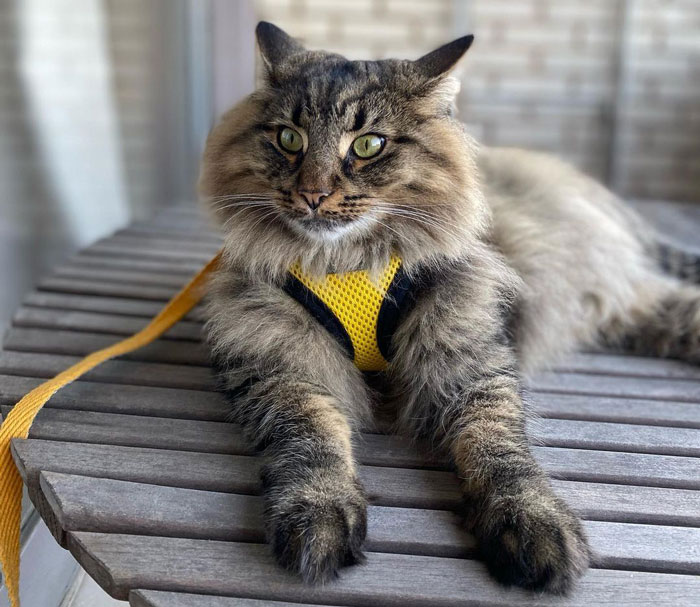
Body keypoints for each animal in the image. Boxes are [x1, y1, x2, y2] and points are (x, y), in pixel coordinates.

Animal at [198, 21, 700, 596]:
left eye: (368, 145)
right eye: (289, 139)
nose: (313, 195)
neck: (346, 261)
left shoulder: (469, 357)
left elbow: (498, 448)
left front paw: (533, 524)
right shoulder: (280, 360)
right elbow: (311, 437)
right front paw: (318, 517)